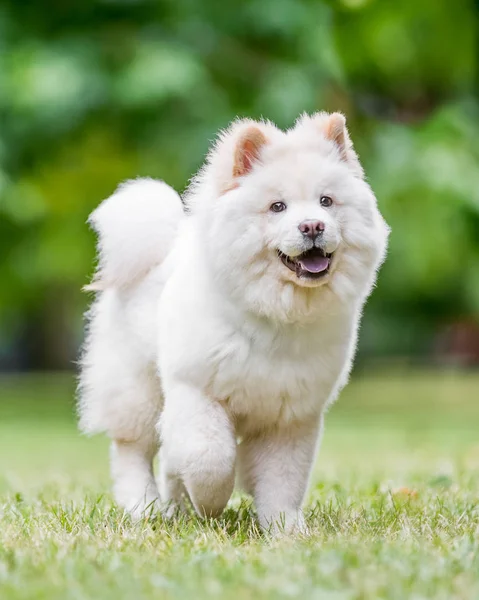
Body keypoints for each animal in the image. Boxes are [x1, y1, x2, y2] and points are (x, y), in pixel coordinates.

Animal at [79, 111, 392, 528]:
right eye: (278, 207)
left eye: (326, 201)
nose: (313, 225)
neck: (278, 316)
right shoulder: (197, 393)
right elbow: (211, 460)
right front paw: (210, 506)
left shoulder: (291, 417)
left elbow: (283, 480)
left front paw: (284, 527)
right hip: (138, 390)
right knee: (133, 451)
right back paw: (144, 507)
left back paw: (175, 508)